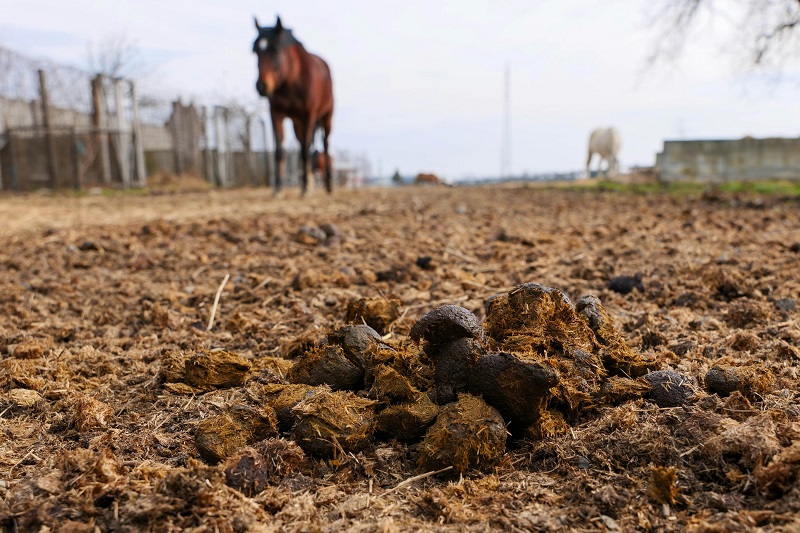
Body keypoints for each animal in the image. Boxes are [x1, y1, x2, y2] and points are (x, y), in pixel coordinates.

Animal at [253, 16, 334, 195]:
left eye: (276, 50)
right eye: (255, 51)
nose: (262, 86)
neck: (290, 81)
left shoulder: (310, 114)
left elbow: (305, 151)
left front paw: (305, 188)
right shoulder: (276, 113)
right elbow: (279, 150)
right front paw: (278, 188)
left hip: (327, 116)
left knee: (325, 144)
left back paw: (327, 185)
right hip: (298, 122)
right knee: (304, 143)